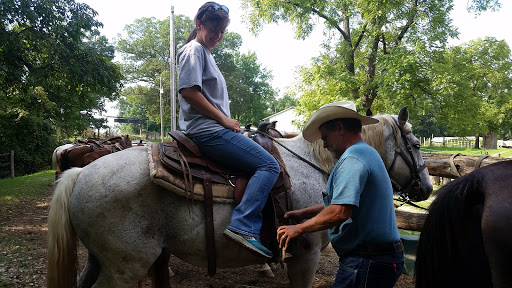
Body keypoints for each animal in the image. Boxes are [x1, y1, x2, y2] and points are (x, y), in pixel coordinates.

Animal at [47, 106, 432, 288]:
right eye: (415, 145)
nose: (427, 189)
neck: (314, 164)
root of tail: (80, 174)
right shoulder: (304, 256)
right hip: (125, 267)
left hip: (101, 260)